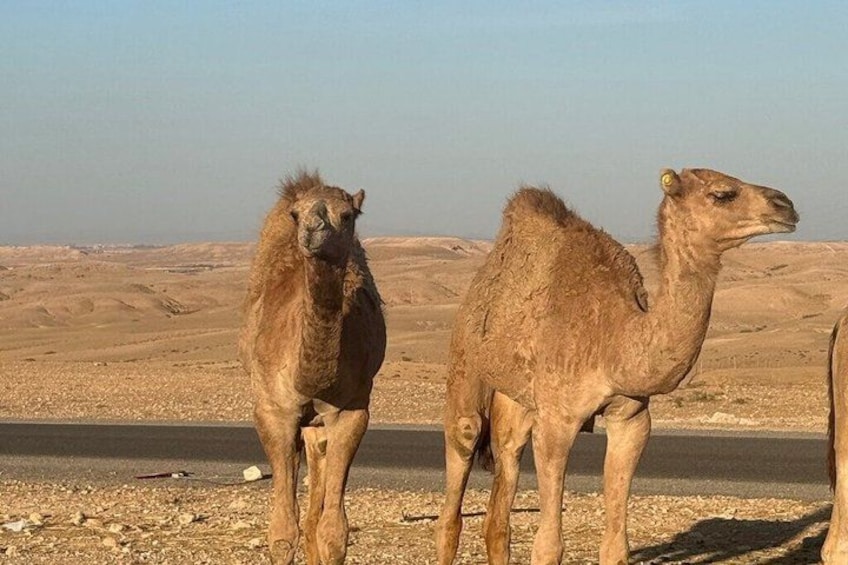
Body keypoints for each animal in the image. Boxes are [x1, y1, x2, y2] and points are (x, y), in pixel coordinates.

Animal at [239, 171, 386, 564]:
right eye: (296, 214)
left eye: (347, 215)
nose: (313, 229)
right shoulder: (274, 411)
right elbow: (281, 532)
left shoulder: (352, 411)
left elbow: (334, 532)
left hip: (318, 425)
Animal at [435, 168, 798, 565]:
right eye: (722, 194)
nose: (786, 204)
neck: (613, 340)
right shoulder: (556, 421)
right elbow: (548, 545)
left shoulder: (631, 416)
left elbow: (616, 545)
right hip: (465, 365)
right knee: (457, 483)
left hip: (516, 399)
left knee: (503, 483)